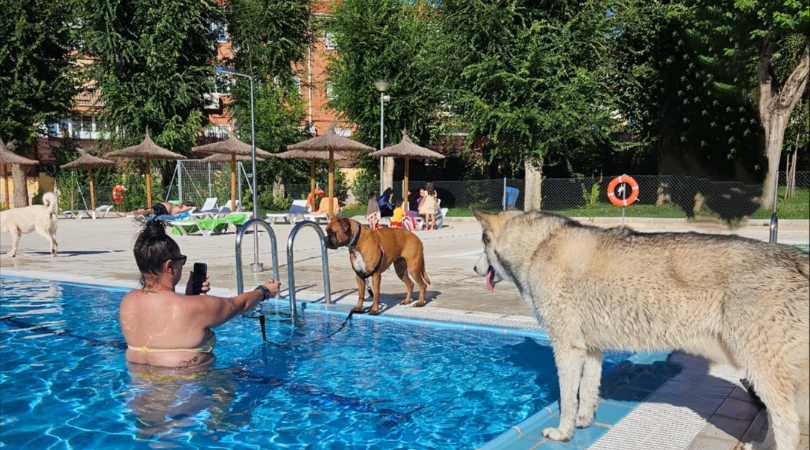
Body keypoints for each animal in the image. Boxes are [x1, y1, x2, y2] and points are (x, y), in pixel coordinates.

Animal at [474, 209, 808, 448]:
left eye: (482, 244)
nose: (475, 269)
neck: (536, 249)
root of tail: (794, 254)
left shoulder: (567, 348)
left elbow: (568, 399)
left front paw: (563, 433)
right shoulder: (591, 350)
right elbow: (588, 393)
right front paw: (583, 423)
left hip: (761, 372)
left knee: (788, 425)